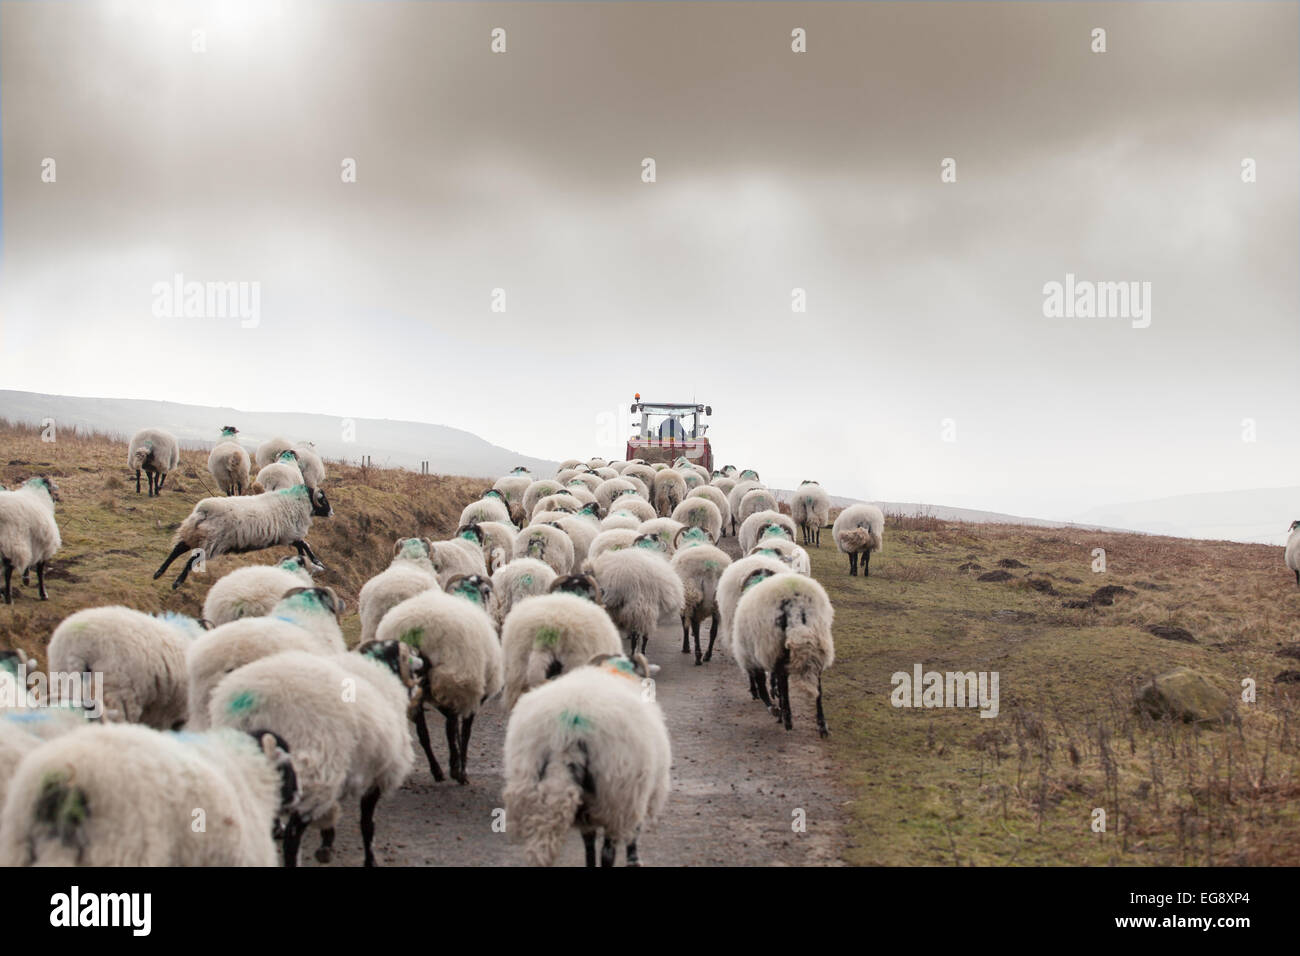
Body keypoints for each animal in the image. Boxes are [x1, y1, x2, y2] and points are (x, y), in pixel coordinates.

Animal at [154, 484, 333, 589]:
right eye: (323, 500)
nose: (332, 512)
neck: (299, 502)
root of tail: (203, 511)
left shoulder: (286, 536)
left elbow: (302, 545)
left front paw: (305, 558)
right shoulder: (289, 534)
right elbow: (304, 544)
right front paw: (317, 561)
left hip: (195, 534)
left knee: (178, 548)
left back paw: (159, 572)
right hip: (212, 540)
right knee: (192, 558)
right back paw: (177, 582)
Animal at [209, 648, 413, 866]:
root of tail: (255, 701)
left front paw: (326, 844)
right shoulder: (379, 775)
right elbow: (367, 824)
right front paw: (370, 859)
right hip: (312, 769)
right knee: (292, 837)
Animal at [376, 589, 503, 785]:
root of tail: (415, 629)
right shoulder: (470, 694)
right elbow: (464, 731)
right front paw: (461, 768)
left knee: (423, 733)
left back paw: (437, 771)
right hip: (451, 677)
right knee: (448, 725)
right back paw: (456, 771)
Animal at [503, 653, 669, 866]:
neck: (615, 672)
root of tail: (569, 730)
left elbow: (589, 845)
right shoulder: (637, 793)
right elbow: (632, 836)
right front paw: (634, 860)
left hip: (532, 780)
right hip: (615, 794)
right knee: (608, 852)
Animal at [732, 571, 834, 736]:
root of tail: (794, 602)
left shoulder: (756, 653)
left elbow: (763, 683)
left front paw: (774, 707)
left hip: (775, 645)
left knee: (782, 680)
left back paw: (787, 718)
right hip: (819, 639)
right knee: (818, 686)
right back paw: (822, 725)